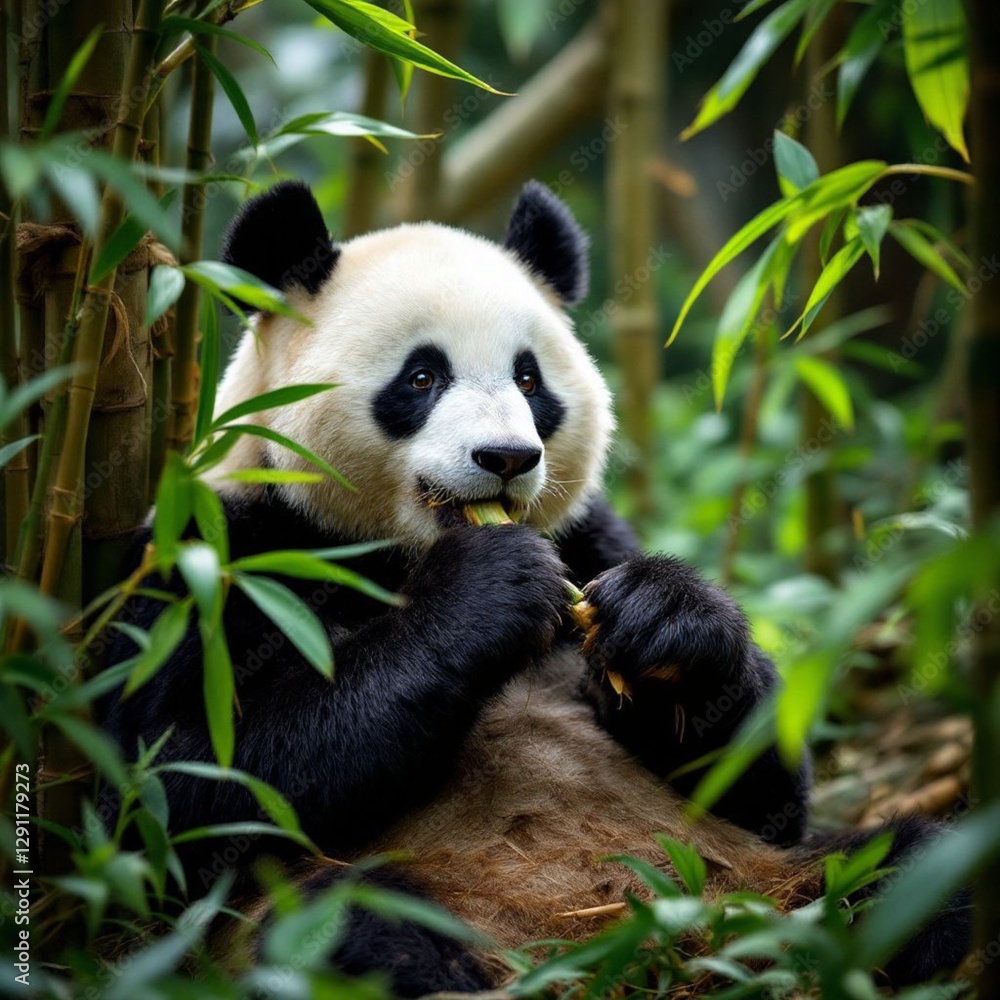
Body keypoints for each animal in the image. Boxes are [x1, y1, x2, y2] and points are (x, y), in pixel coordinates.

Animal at [103, 180, 970, 996]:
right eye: (422, 376)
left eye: (529, 380)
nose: (506, 458)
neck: (398, 551)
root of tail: (647, 951)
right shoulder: (220, 552)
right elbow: (186, 787)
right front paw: (490, 590)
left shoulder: (588, 535)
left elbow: (760, 792)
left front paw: (665, 621)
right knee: (340, 928)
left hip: (766, 878)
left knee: (916, 867)